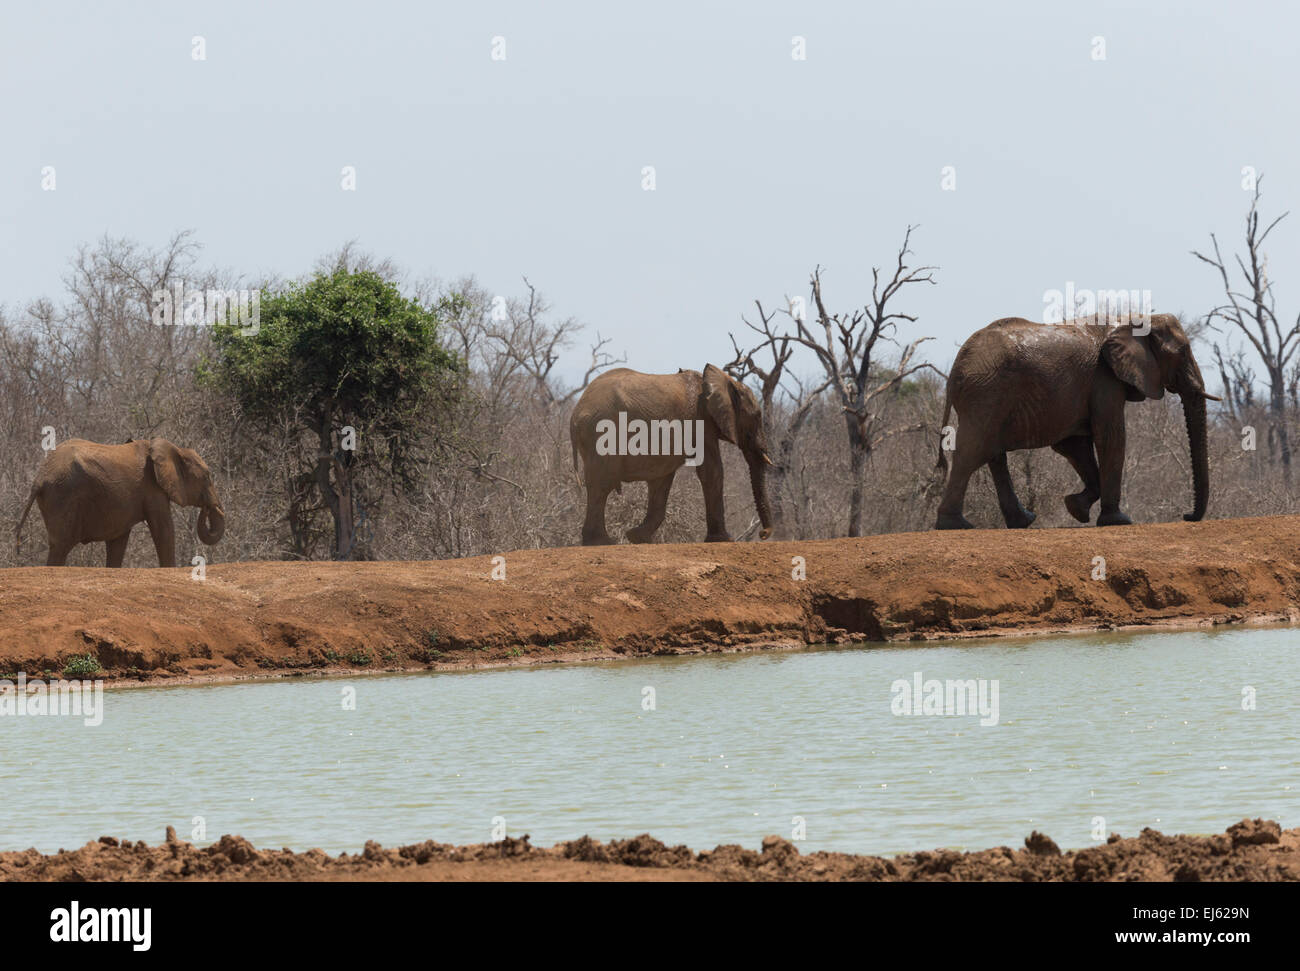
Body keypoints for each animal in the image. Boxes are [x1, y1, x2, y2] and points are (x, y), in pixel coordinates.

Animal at [15, 437, 226, 566]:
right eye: (207, 477)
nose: (208, 508)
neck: (175, 449)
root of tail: (39, 477)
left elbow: (119, 539)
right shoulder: (152, 489)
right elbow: (163, 529)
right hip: (62, 495)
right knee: (60, 545)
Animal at [569, 364, 774, 545]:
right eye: (757, 416)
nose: (763, 534)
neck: (724, 381)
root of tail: (575, 415)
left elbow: (661, 480)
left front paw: (637, 538)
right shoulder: (702, 422)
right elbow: (712, 472)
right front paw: (725, 540)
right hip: (600, 433)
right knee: (602, 485)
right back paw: (601, 542)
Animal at [933, 313, 1219, 529]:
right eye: (1182, 353)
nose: (1187, 516)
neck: (1132, 318)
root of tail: (954, 371)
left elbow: (1074, 446)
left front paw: (1075, 508)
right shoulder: (1104, 378)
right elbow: (1110, 437)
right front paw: (1118, 521)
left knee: (993, 454)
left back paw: (1022, 521)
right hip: (986, 393)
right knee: (972, 452)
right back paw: (955, 525)